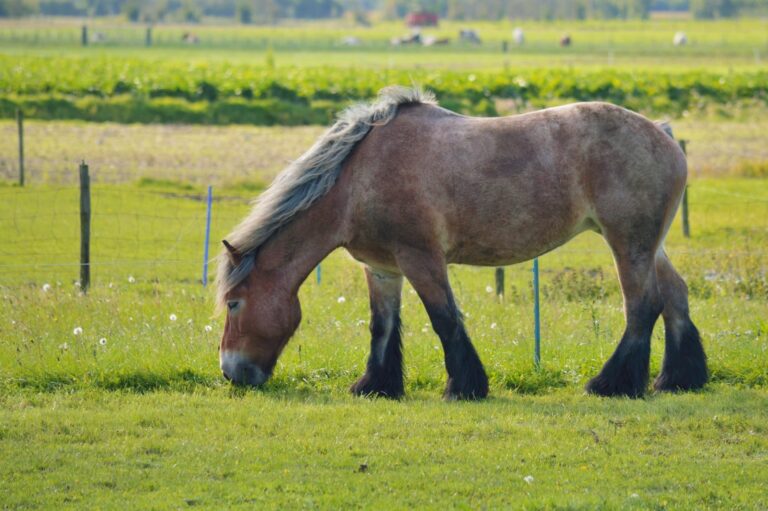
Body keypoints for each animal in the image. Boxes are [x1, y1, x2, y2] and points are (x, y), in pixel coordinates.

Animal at [216, 86, 708, 402]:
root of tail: (662, 132)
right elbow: (382, 326)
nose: (231, 372)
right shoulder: (382, 268)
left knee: (643, 306)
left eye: (234, 303)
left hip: (629, 244)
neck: (358, 180)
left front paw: (464, 386)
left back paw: (613, 384)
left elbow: (444, 319)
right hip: (650, 246)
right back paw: (678, 379)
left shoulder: (421, 259)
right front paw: (376, 386)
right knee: (676, 297)